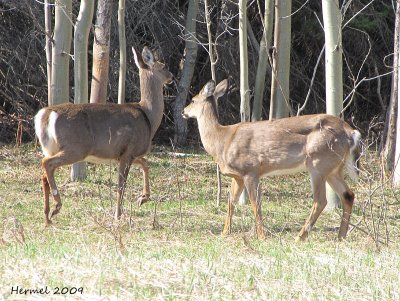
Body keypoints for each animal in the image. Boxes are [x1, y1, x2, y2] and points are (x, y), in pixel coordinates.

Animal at [34, 46, 172, 225]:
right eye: (163, 66)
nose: (171, 76)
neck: (148, 117)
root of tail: (46, 114)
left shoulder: (125, 154)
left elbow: (145, 163)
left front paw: (143, 198)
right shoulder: (129, 151)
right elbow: (121, 185)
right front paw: (118, 215)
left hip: (50, 147)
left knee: (44, 174)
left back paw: (47, 217)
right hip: (76, 148)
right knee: (47, 164)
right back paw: (56, 207)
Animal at [183, 79, 360, 239]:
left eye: (193, 100)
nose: (183, 111)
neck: (222, 140)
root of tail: (350, 132)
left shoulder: (250, 170)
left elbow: (255, 203)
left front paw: (262, 236)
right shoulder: (238, 176)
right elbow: (231, 202)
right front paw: (225, 232)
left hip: (318, 162)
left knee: (320, 200)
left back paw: (300, 237)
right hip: (333, 168)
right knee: (348, 195)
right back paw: (341, 236)